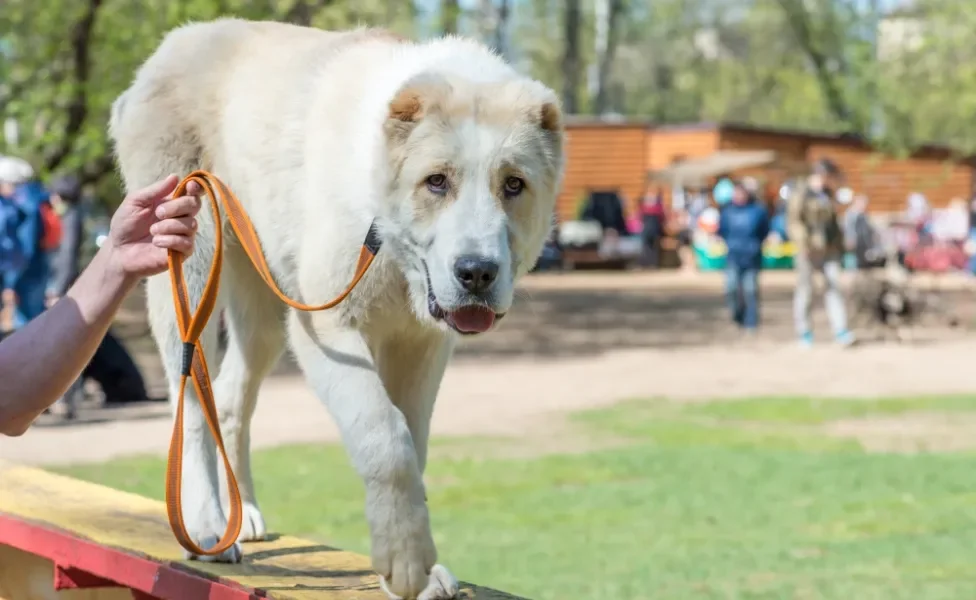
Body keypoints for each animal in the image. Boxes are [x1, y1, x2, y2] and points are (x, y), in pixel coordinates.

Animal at [108, 17, 564, 600]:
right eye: (437, 181)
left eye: (514, 185)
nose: (477, 273)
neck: (388, 239)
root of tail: (173, 43)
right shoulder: (325, 328)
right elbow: (386, 436)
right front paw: (406, 563)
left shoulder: (420, 345)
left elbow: (414, 443)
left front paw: (418, 568)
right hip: (190, 263)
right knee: (189, 390)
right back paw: (208, 525)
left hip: (262, 309)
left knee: (228, 398)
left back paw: (243, 514)